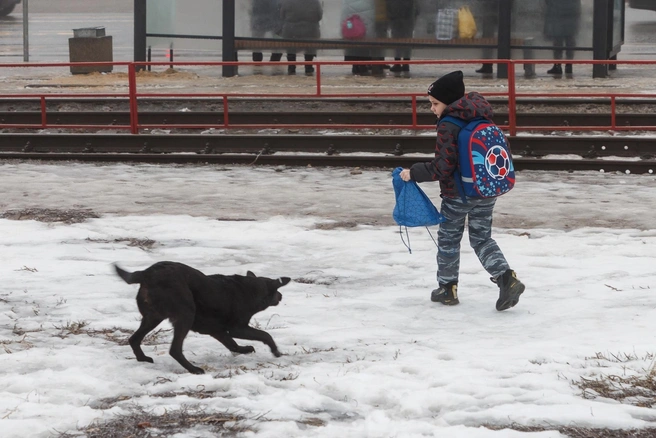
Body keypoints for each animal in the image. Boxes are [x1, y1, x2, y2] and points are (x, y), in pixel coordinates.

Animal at [113, 262, 290, 374]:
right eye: (277, 291)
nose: (281, 296)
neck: (250, 289)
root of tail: (146, 273)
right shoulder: (237, 328)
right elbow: (265, 335)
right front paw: (276, 351)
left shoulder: (217, 330)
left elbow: (232, 344)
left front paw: (243, 349)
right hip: (185, 314)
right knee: (174, 349)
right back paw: (194, 369)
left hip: (153, 317)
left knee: (134, 339)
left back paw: (142, 359)